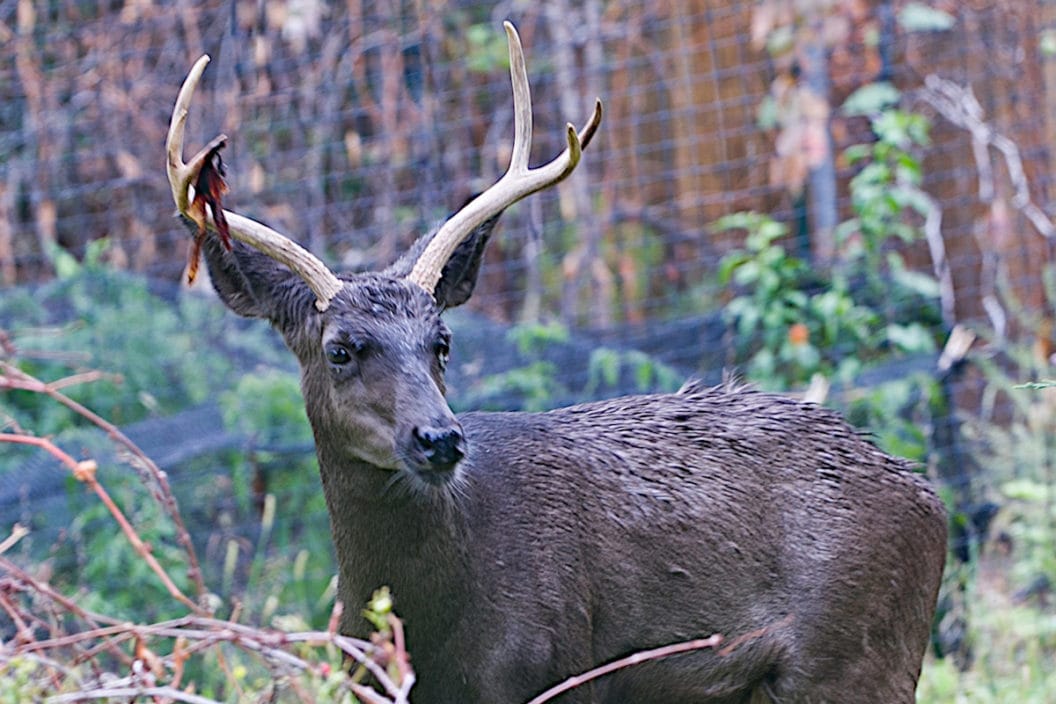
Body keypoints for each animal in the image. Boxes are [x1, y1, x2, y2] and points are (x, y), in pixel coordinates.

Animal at [162, 22, 950, 704]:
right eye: (340, 349)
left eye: (441, 341)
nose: (438, 438)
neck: (423, 622)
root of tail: (929, 499)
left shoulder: (550, 672)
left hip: (856, 656)